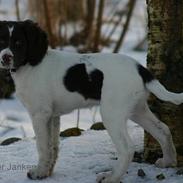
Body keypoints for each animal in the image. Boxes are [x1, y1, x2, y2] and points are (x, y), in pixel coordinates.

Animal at [0, 20, 182, 183]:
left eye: (19, 43)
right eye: (1, 41)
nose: (5, 57)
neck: (31, 65)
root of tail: (140, 68)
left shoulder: (39, 115)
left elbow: (43, 147)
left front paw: (39, 173)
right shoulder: (52, 116)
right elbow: (53, 147)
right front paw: (47, 173)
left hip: (111, 114)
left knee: (127, 149)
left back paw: (111, 178)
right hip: (137, 109)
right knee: (163, 130)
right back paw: (168, 161)